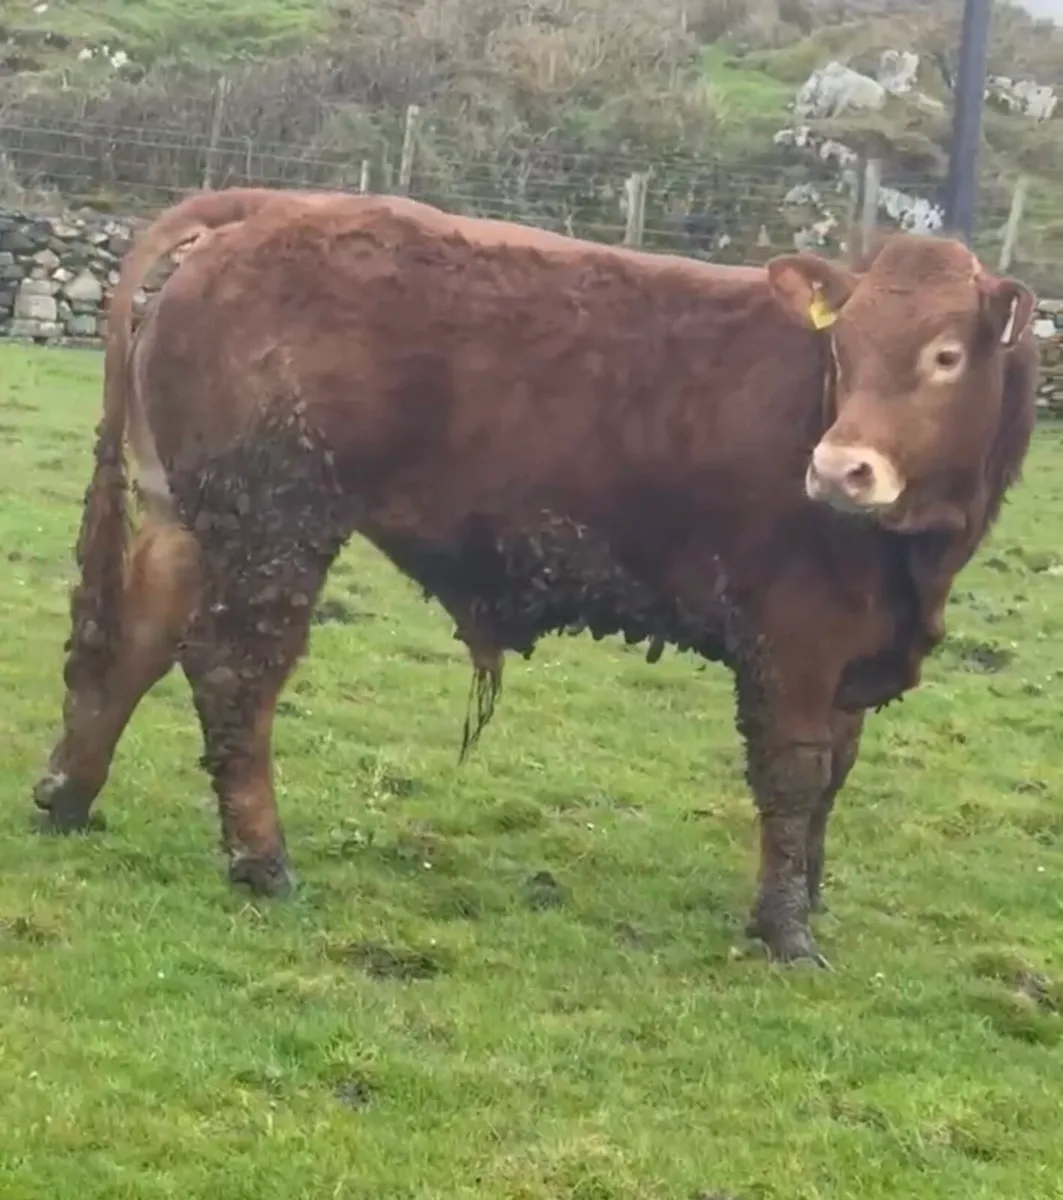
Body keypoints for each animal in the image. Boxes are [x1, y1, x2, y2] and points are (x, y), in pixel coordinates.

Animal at [31, 186, 1039, 967]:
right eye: (844, 349)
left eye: (946, 355)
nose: (837, 470)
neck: (915, 561)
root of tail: (268, 206)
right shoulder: (793, 638)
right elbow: (794, 776)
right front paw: (785, 930)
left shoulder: (852, 652)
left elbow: (835, 772)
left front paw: (809, 895)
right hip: (280, 522)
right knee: (233, 673)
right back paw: (261, 860)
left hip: (193, 514)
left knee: (135, 641)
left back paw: (68, 799)